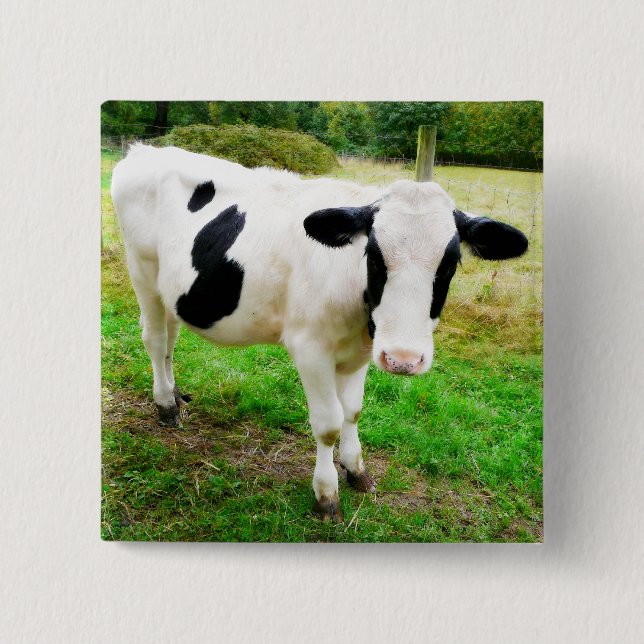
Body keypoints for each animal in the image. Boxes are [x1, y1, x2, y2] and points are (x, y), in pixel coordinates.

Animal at [110, 144, 528, 522]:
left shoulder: (363, 351)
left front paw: (356, 469)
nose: (403, 359)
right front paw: (326, 493)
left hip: (172, 290)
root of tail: (144, 150)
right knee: (155, 339)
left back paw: (176, 394)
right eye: (373, 256)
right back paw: (165, 404)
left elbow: (353, 412)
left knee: (170, 338)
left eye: (451, 263)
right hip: (141, 271)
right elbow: (328, 424)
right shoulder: (309, 349)